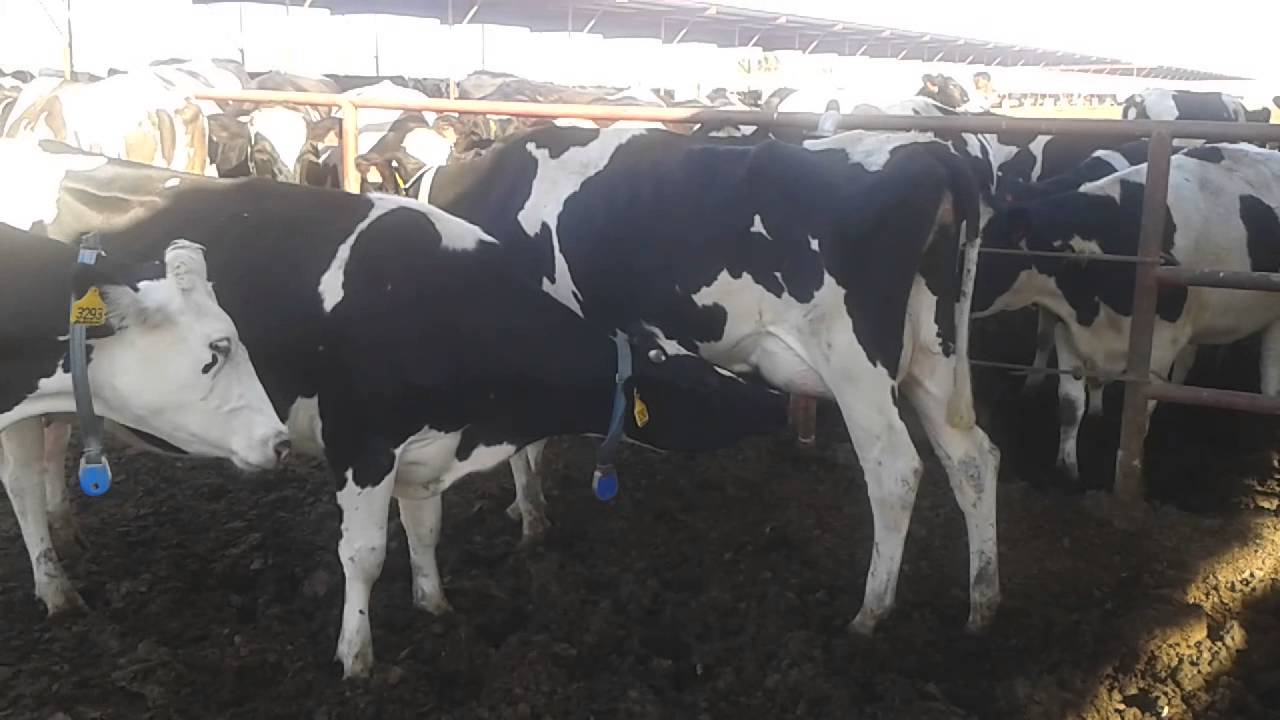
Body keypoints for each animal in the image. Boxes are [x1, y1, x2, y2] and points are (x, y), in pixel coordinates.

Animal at [972, 143, 1280, 487]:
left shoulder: (1160, 346)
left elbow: (1139, 414)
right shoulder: (1069, 328)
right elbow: (1069, 404)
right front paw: (1067, 469)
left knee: (1269, 375)